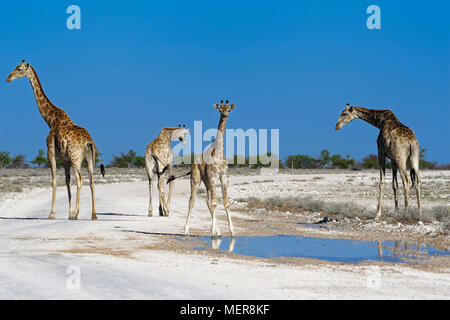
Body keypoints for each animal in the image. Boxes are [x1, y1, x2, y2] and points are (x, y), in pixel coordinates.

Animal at [6, 60, 105, 220]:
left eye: (19, 69)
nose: (8, 78)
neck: (50, 120)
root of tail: (89, 142)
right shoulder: (65, 159)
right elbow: (66, 181)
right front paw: (69, 213)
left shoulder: (51, 153)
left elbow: (54, 181)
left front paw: (52, 214)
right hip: (89, 159)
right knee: (91, 179)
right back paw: (93, 215)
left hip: (76, 158)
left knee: (80, 179)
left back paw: (77, 214)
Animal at [168, 100, 236, 238]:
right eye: (220, 110)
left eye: (228, 110)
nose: (225, 114)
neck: (218, 154)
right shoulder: (213, 177)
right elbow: (215, 203)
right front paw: (213, 231)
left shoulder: (224, 177)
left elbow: (225, 203)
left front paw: (231, 231)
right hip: (196, 178)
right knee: (192, 200)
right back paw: (186, 230)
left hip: (206, 181)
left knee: (207, 201)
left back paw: (218, 230)